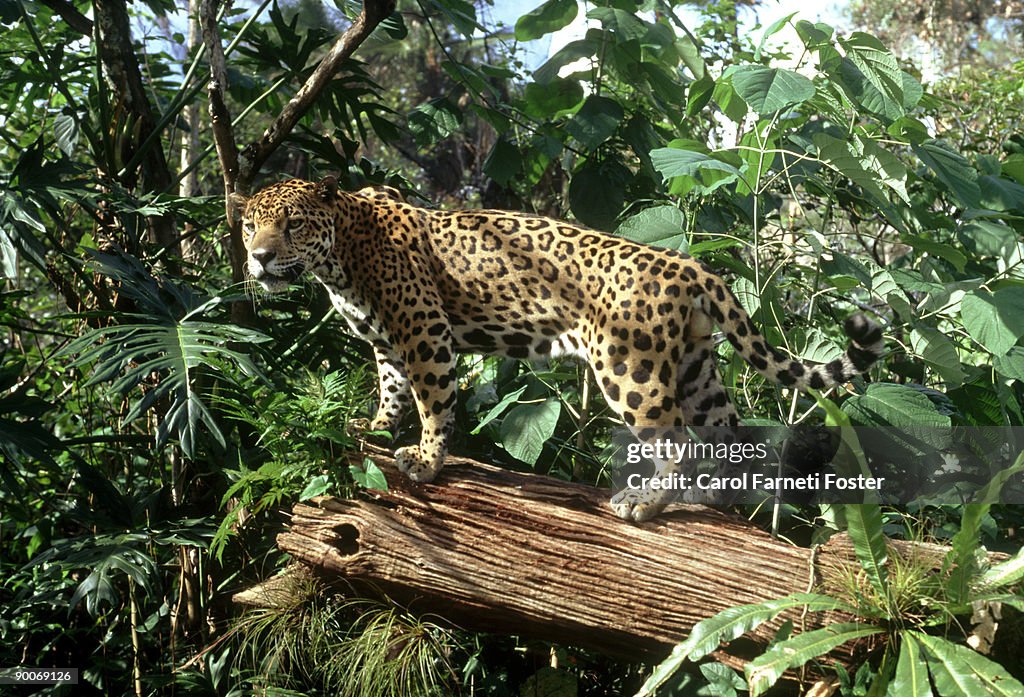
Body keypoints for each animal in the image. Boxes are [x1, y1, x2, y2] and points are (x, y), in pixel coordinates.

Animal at [236, 176, 884, 521]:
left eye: (293, 224)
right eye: (250, 226)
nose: (259, 257)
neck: (338, 258)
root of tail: (691, 267)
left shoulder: (425, 332)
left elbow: (433, 401)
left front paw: (425, 460)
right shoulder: (391, 343)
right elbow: (392, 390)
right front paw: (371, 427)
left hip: (631, 368)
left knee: (674, 439)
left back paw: (645, 502)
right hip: (695, 366)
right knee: (723, 433)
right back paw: (713, 498)